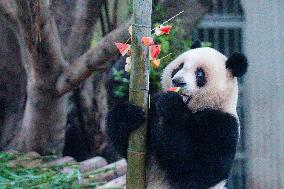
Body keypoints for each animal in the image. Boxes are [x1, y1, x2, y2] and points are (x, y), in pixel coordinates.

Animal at [105, 41, 247, 189]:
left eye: (199, 73)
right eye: (180, 67)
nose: (178, 81)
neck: (193, 109)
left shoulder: (222, 125)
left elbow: (197, 167)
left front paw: (171, 106)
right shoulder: (153, 107)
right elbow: (128, 149)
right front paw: (128, 115)